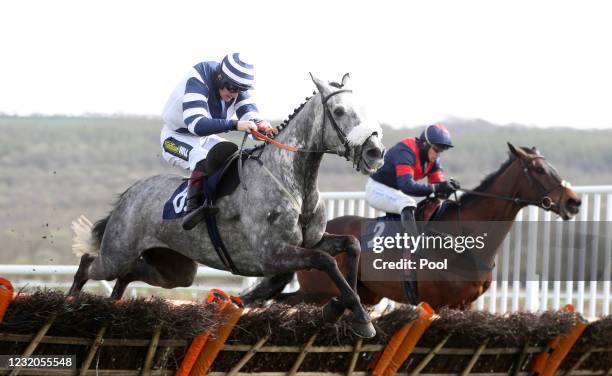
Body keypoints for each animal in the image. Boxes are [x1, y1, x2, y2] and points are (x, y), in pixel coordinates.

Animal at [69, 74, 384, 338]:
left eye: (365, 109)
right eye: (339, 111)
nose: (375, 152)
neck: (294, 182)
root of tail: (129, 194)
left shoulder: (311, 242)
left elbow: (352, 244)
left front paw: (344, 307)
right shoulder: (272, 255)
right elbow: (326, 261)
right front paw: (356, 315)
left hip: (174, 269)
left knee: (128, 274)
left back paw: (112, 303)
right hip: (117, 253)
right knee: (88, 264)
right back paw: (72, 303)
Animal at [241, 143, 580, 308]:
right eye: (538, 169)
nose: (574, 202)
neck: (465, 236)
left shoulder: (465, 305)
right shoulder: (443, 304)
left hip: (362, 294)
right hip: (318, 291)